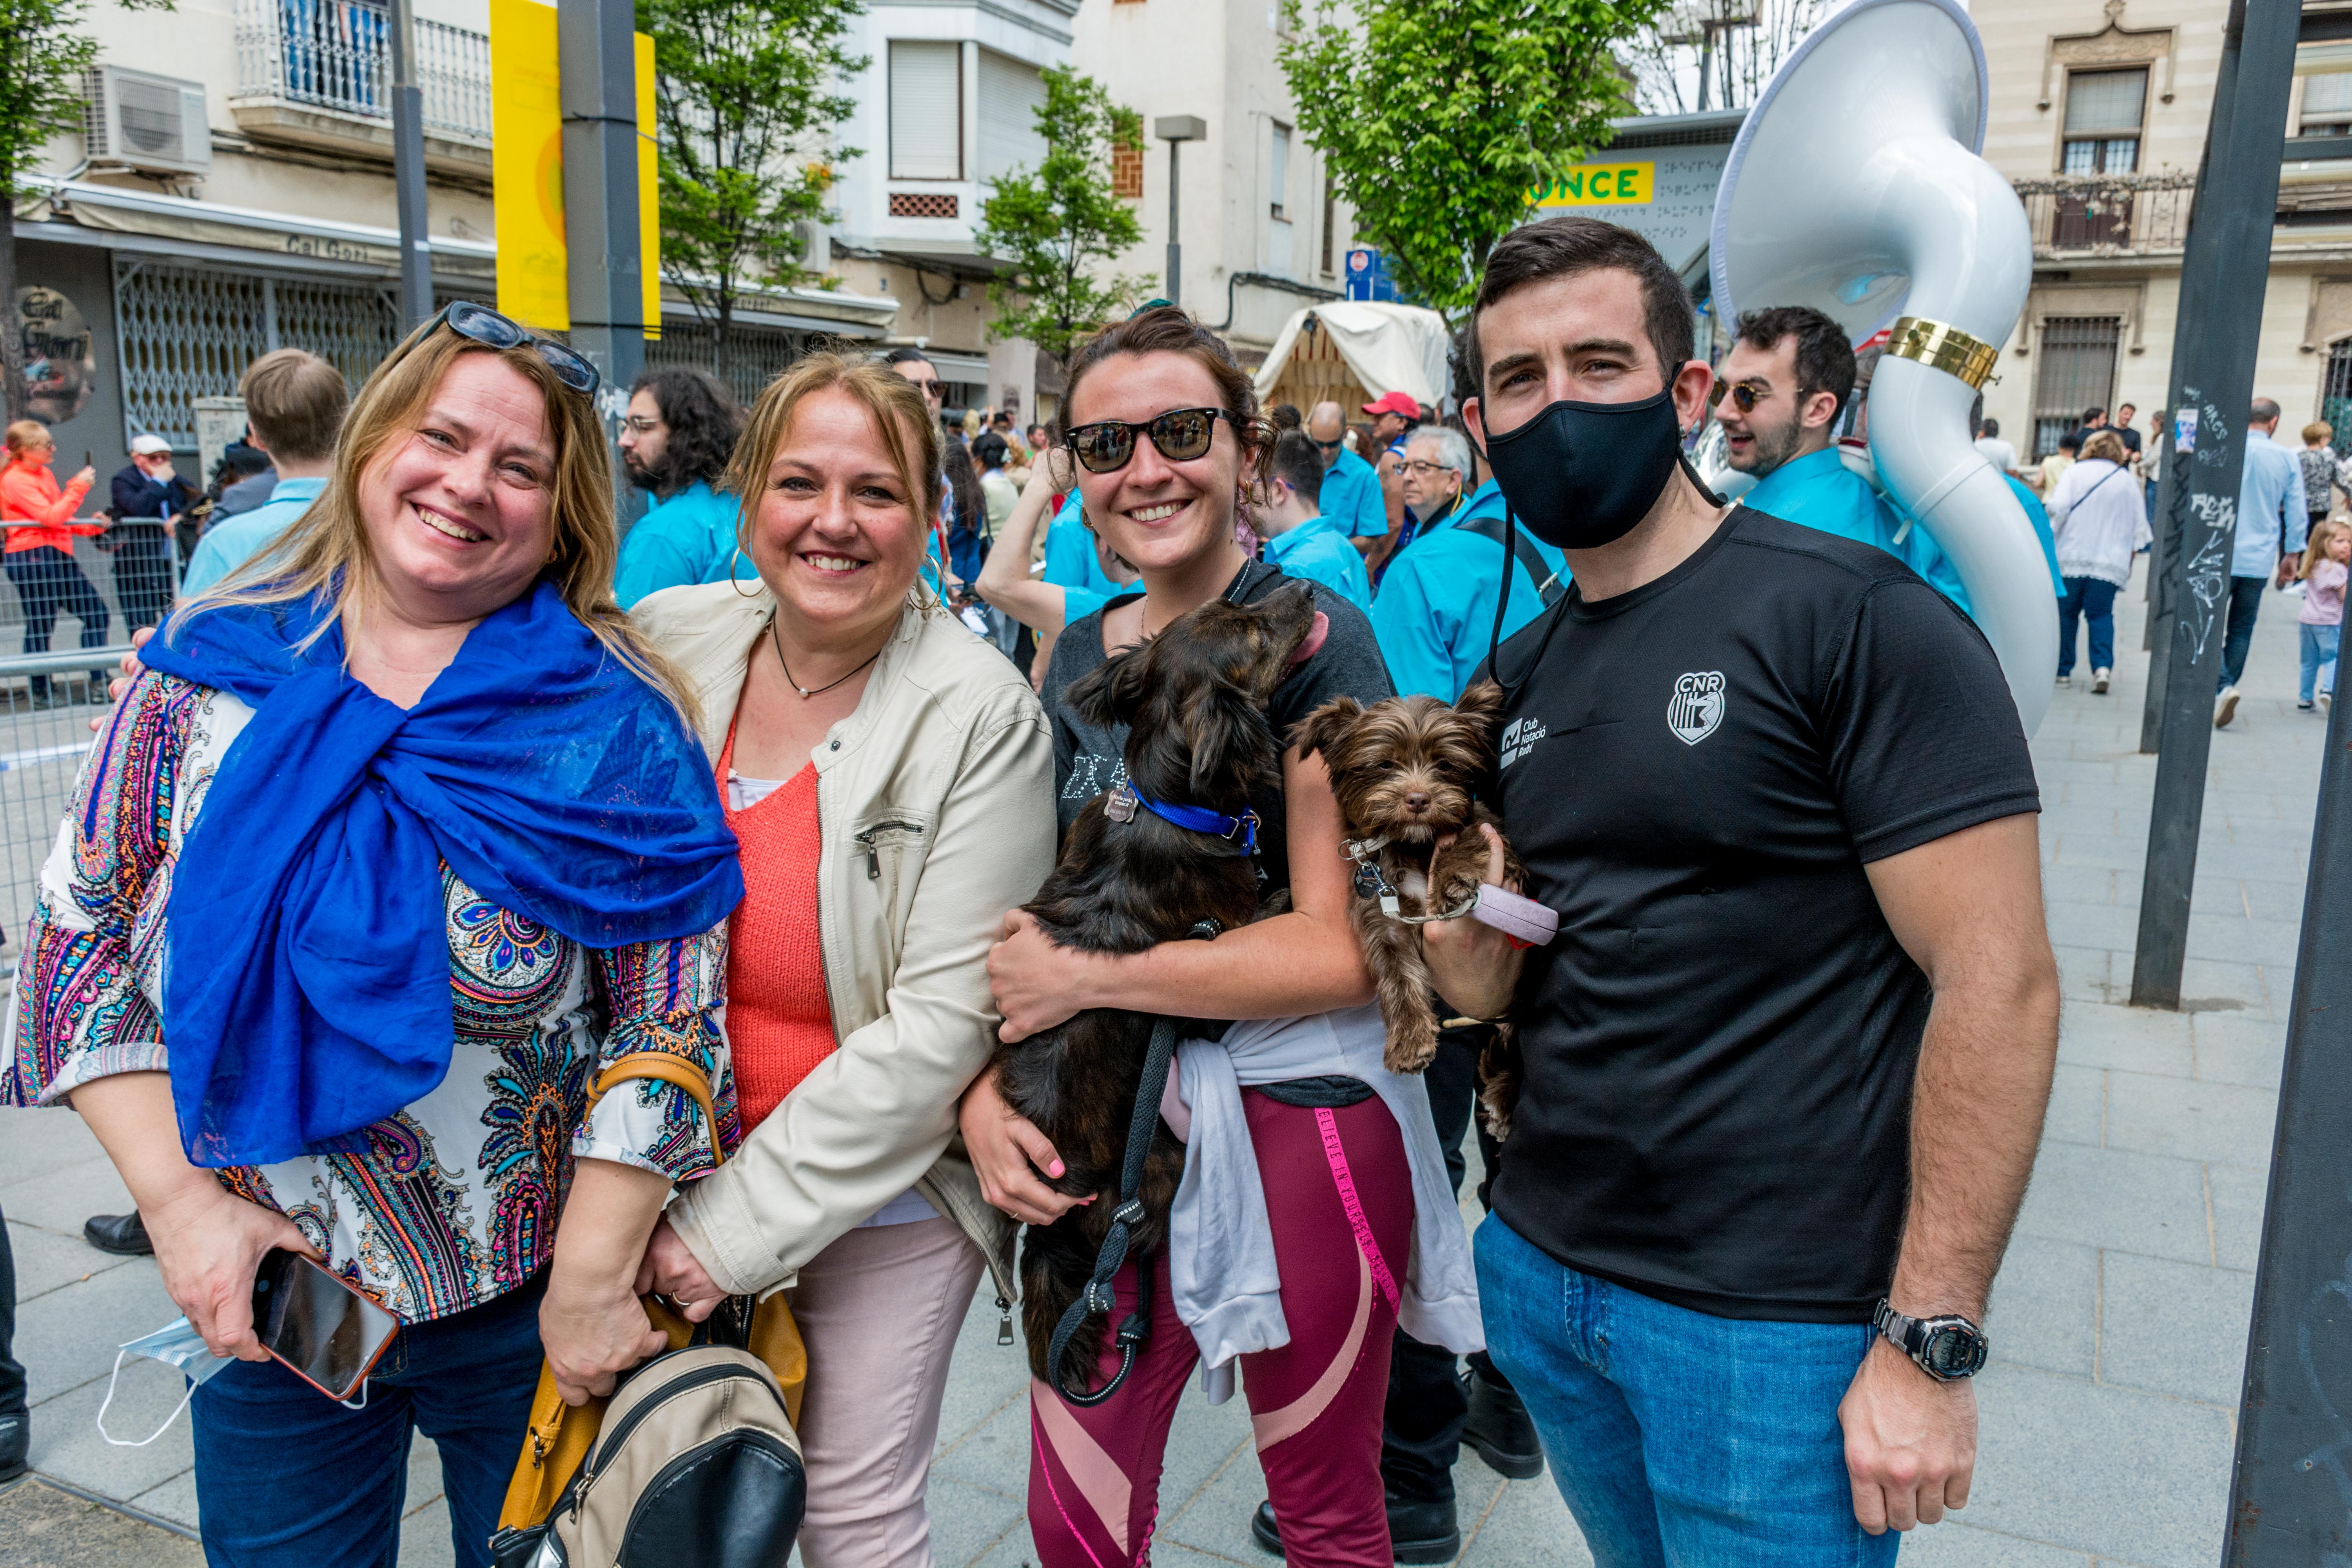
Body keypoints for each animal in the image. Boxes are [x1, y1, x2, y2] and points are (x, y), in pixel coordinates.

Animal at [993, 583, 1327, 1392]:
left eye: (1236, 611)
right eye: (1251, 631)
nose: (1304, 587)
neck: (1167, 803)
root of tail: (1050, 1229)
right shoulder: (1215, 953)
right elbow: (1276, 900)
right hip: (1163, 1166)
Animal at [1289, 682, 1524, 1133]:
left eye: (1445, 764)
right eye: (1384, 764)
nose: (1418, 798)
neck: (1410, 844)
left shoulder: (1502, 849)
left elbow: (1470, 832)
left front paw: (1454, 874)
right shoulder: (1385, 921)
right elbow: (1398, 979)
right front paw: (1409, 1039)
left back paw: (1505, 1098)